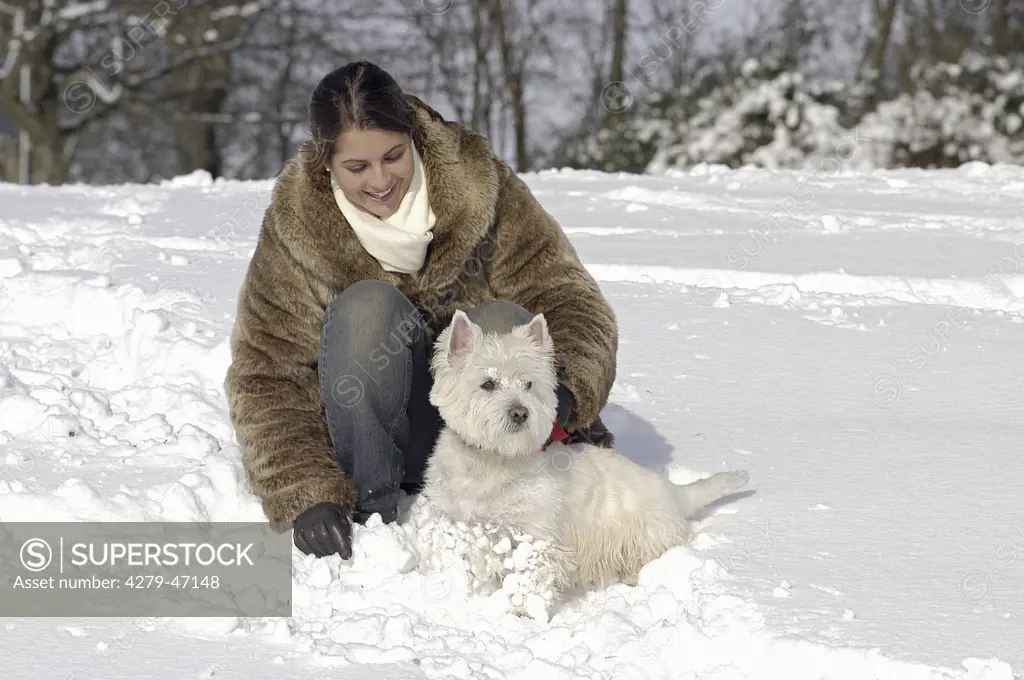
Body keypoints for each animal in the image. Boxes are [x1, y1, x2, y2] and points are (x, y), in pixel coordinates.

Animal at [419, 311, 749, 593]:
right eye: (488, 383)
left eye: (529, 384)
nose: (520, 413)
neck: (492, 459)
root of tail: (675, 493)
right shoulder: (461, 524)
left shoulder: (534, 533)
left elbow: (529, 577)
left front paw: (521, 612)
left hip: (646, 533)